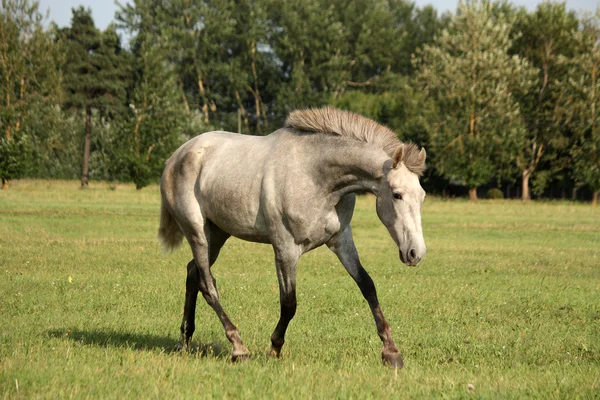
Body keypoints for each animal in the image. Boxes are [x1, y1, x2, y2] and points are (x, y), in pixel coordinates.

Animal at [157, 106, 424, 368]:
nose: (416, 253)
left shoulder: (341, 240)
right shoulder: (286, 249)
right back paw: (238, 347)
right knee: (207, 284)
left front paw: (391, 352)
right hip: (197, 233)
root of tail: (176, 156)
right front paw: (274, 349)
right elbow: (289, 303)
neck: (316, 176)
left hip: (218, 234)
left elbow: (368, 286)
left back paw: (184, 341)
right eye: (397, 194)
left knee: (192, 273)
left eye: (421, 196)